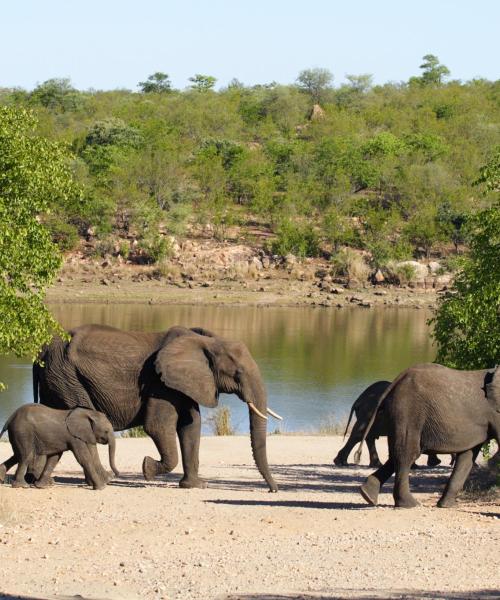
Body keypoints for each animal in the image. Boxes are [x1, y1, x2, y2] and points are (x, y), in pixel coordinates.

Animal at [34, 326, 282, 490]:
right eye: (238, 373)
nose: (273, 490)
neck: (205, 342)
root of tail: (41, 353)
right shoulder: (158, 383)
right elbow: (158, 427)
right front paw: (147, 469)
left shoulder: (182, 383)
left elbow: (191, 426)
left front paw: (195, 486)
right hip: (66, 378)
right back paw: (101, 481)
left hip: (55, 379)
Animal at [358, 364, 498, 508]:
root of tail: (396, 381)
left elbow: (467, 457)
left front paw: (447, 506)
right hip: (407, 410)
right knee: (407, 454)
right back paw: (409, 504)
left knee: (396, 455)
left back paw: (368, 494)